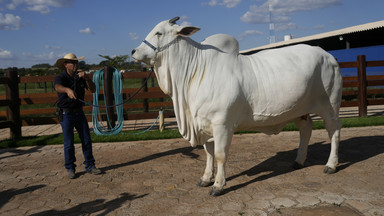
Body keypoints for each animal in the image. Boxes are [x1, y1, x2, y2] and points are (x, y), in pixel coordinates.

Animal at [133, 16, 342, 196]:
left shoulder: (222, 125)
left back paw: (331, 165)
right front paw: (205, 178)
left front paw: (218, 185)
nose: (133, 51)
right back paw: (299, 161)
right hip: (300, 111)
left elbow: (220, 155)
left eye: (159, 33)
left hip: (330, 106)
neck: (195, 73)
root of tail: (328, 55)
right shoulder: (204, 125)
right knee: (306, 130)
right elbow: (208, 154)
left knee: (334, 131)